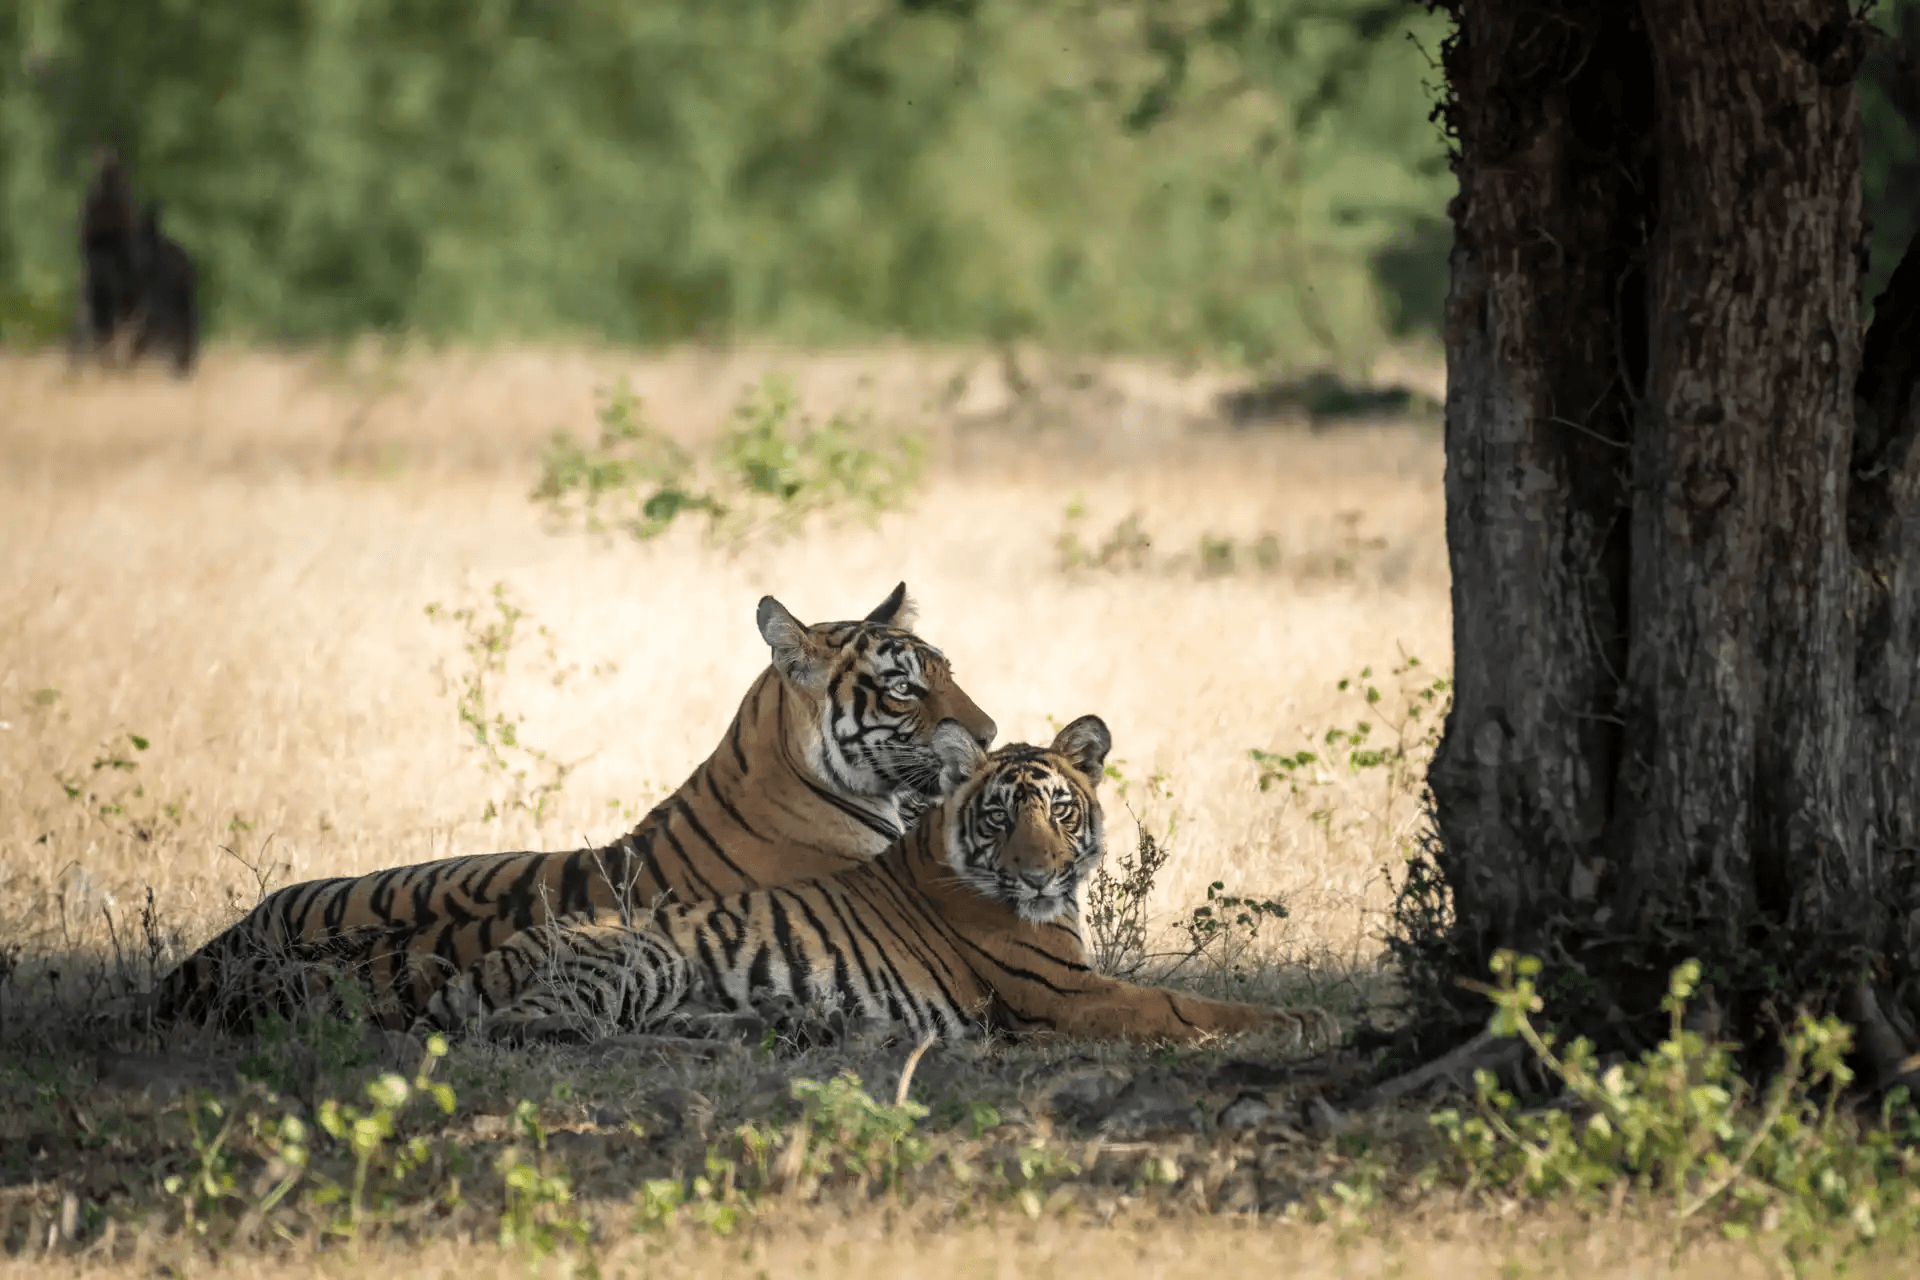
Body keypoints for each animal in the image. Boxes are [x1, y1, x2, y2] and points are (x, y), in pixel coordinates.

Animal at [416, 716, 1336, 1050]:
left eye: (1060, 810)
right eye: (1000, 817)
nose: (1039, 874)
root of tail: (499, 951)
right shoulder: (1065, 993)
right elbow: (1190, 1007)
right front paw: (1305, 1020)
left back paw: (790, 1026)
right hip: (640, 954)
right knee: (538, 1028)